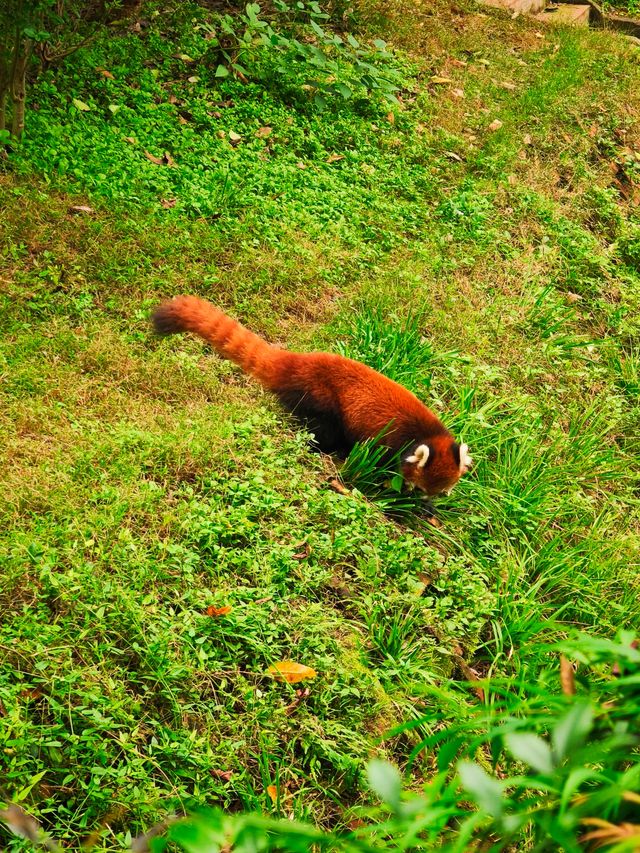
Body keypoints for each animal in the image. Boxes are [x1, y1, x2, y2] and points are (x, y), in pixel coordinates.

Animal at [149, 298, 470, 500]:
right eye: (421, 488)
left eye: (441, 491)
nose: (425, 501)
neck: (427, 435)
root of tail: (299, 362)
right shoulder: (390, 444)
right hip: (322, 399)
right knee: (323, 430)